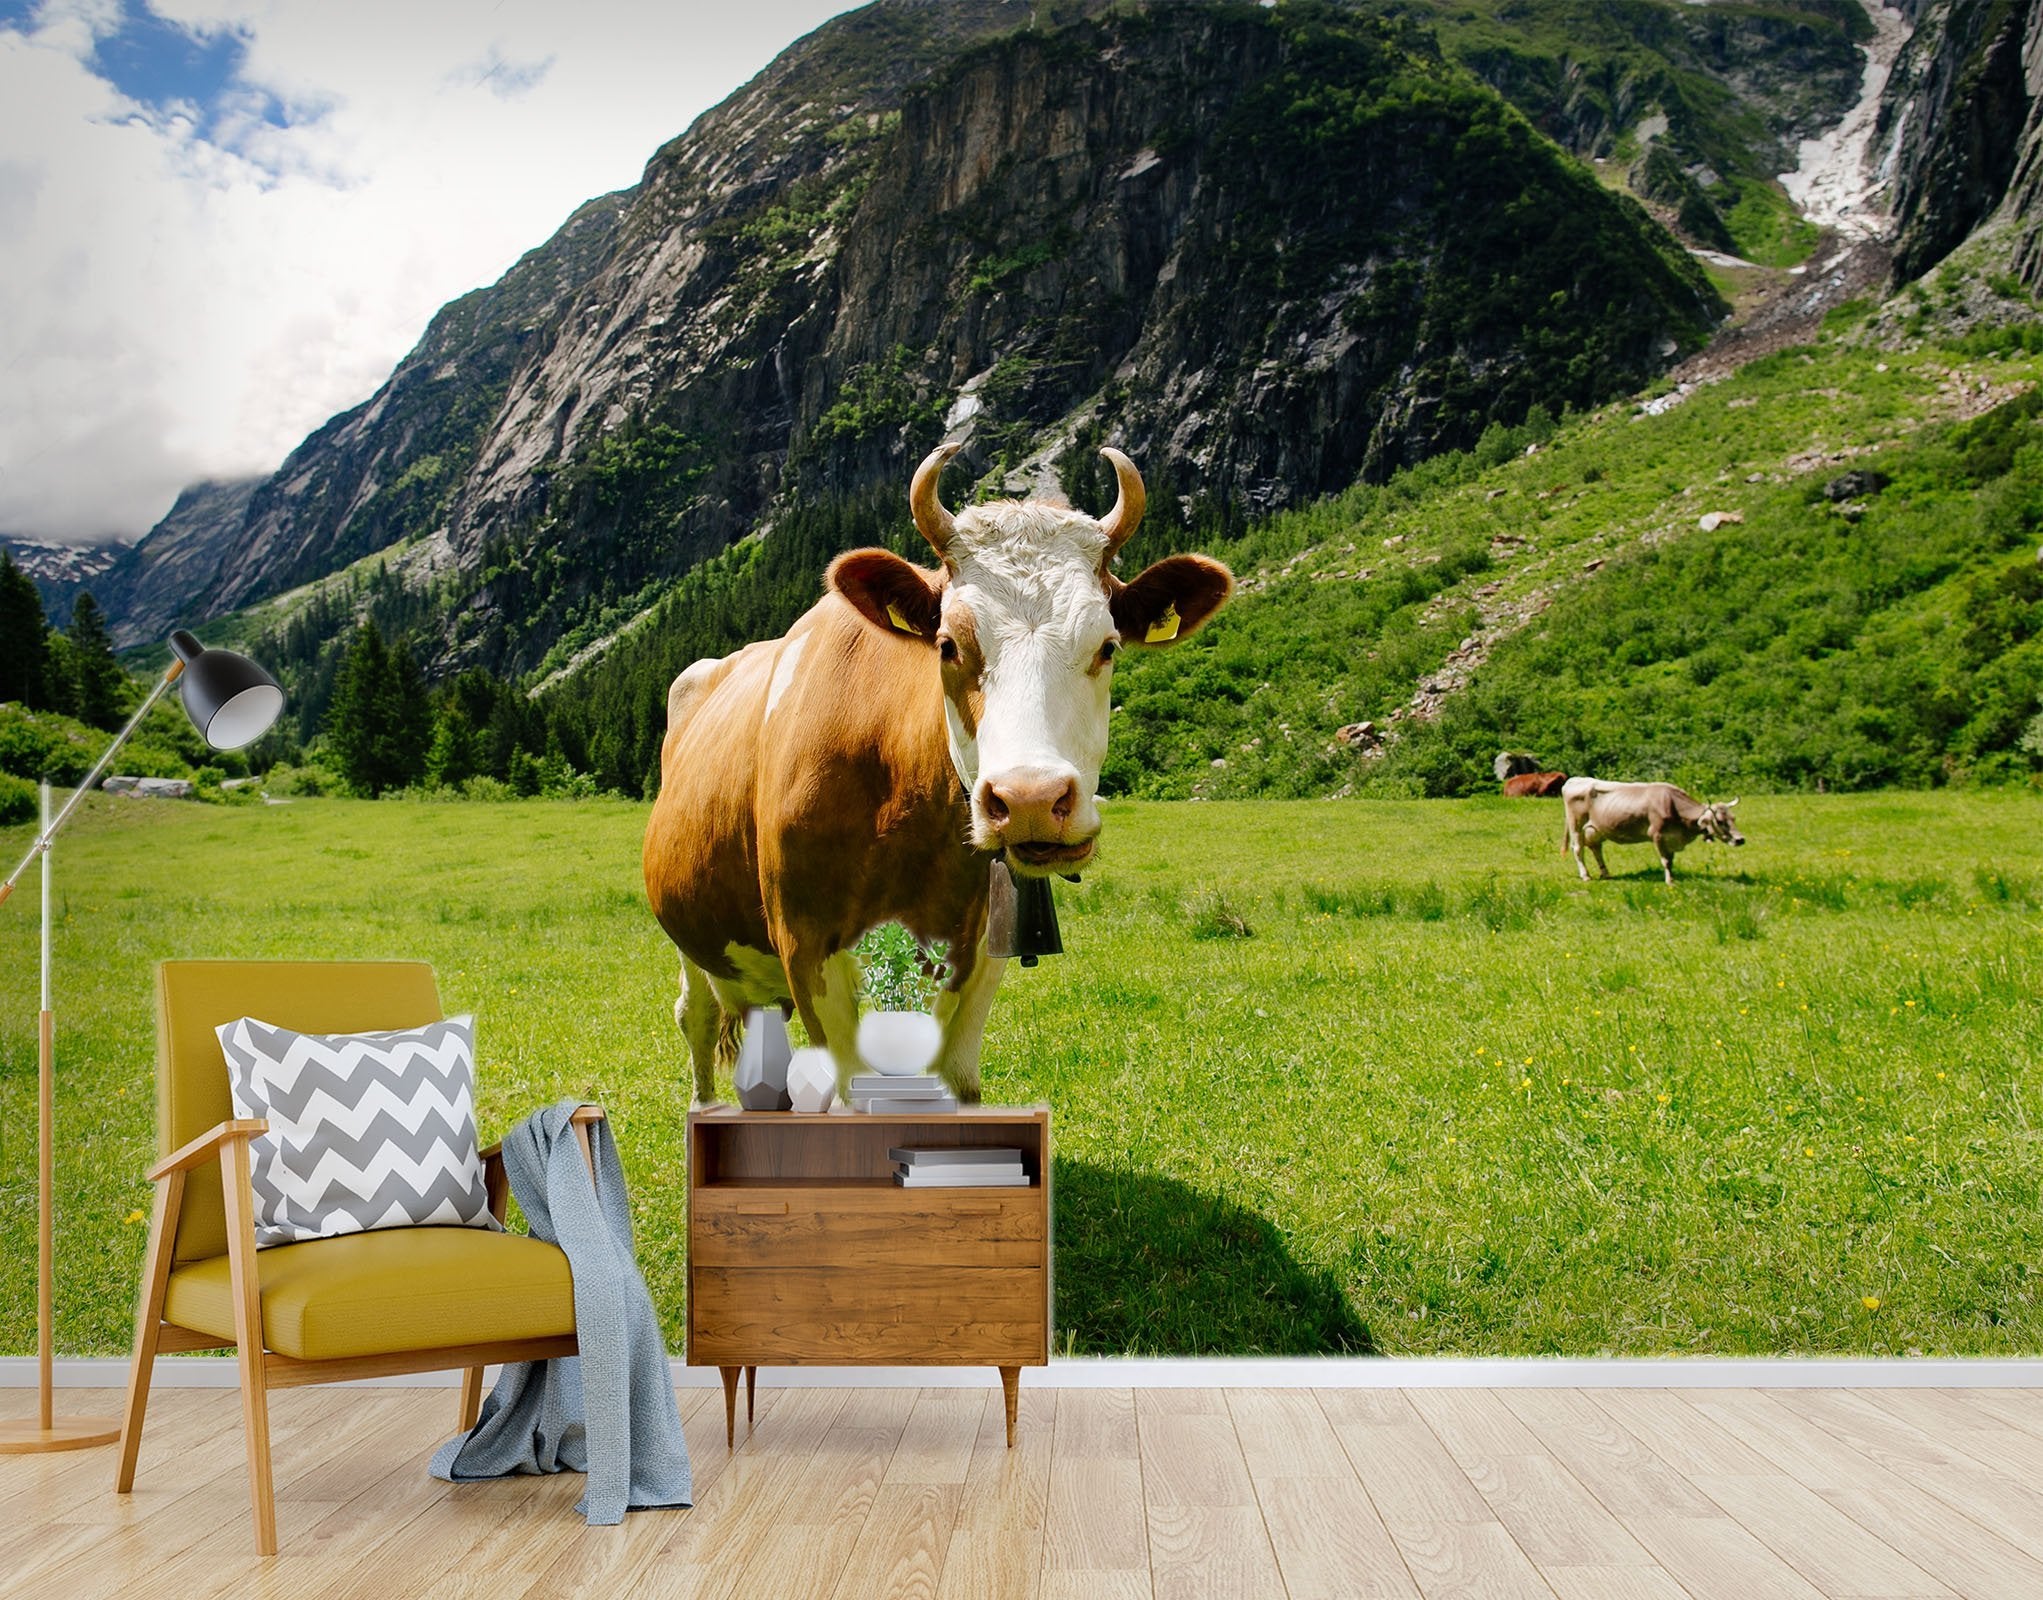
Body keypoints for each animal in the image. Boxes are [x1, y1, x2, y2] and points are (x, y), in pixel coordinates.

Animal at [642, 444, 1233, 1104]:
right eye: (949, 644)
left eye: (1108, 646)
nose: (1030, 800)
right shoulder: (805, 945)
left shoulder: (980, 947)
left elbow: (955, 1079)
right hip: (693, 939)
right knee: (697, 1017)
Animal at [1562, 777, 1744, 885]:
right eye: (1720, 821)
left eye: (1733, 818)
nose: (1740, 839)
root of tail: (1573, 780)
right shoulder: (1657, 835)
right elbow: (1666, 861)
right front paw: (1670, 881)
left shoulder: (1671, 838)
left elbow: (1671, 860)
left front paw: (1672, 877)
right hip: (1576, 825)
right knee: (1578, 849)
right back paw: (1585, 875)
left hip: (1595, 829)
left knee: (1596, 848)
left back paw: (1605, 874)